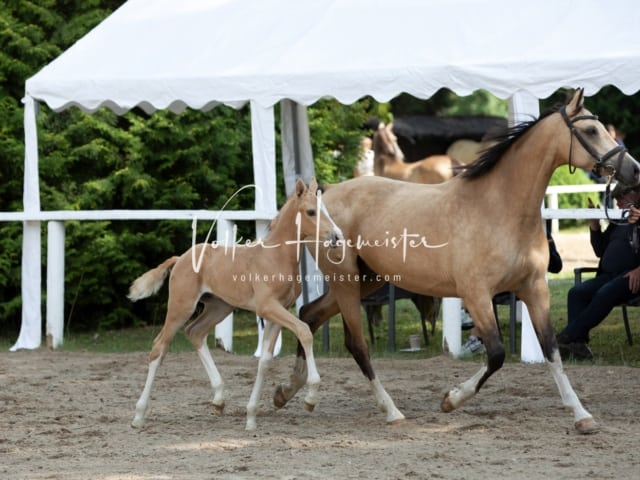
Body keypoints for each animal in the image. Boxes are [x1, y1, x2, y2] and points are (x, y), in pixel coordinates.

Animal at [127, 178, 342, 430]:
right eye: (310, 212)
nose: (337, 237)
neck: (276, 257)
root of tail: (180, 258)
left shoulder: (278, 312)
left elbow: (265, 361)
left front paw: (251, 417)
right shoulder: (267, 307)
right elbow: (304, 331)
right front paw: (311, 397)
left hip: (219, 307)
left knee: (195, 332)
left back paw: (219, 400)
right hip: (181, 307)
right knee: (159, 346)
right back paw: (139, 415)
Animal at [272, 89, 636, 436]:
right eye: (590, 130)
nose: (634, 169)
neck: (500, 208)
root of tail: (325, 195)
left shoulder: (534, 289)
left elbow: (551, 349)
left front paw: (582, 416)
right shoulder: (476, 295)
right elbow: (496, 354)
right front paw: (450, 400)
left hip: (367, 280)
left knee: (310, 314)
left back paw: (288, 391)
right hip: (345, 280)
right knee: (356, 344)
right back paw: (389, 411)